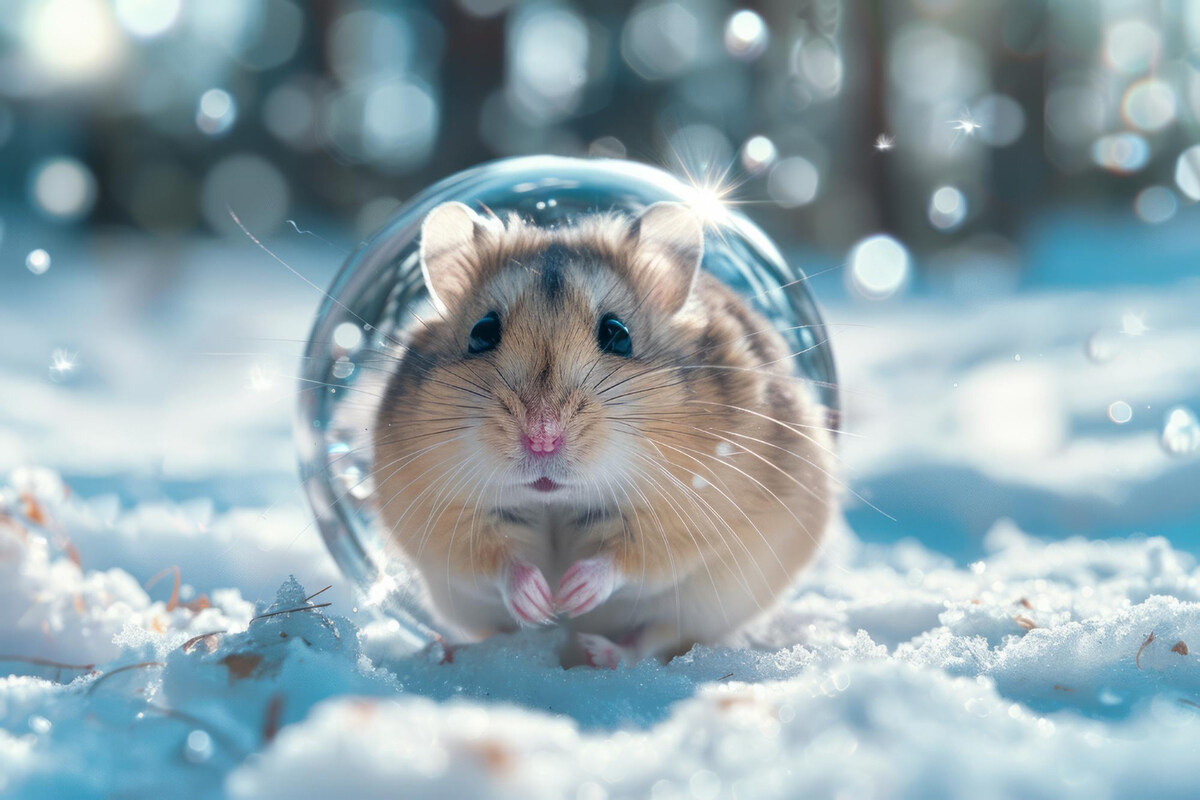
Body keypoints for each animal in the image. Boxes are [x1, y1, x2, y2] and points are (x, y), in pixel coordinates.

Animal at [372, 200, 834, 664]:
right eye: (481, 331)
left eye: (618, 334)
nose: (542, 438)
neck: (555, 500)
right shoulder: (442, 515)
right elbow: (496, 557)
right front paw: (542, 602)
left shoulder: (692, 513)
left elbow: (628, 556)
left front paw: (571, 594)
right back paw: (448, 649)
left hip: (706, 607)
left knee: (653, 640)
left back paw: (599, 652)